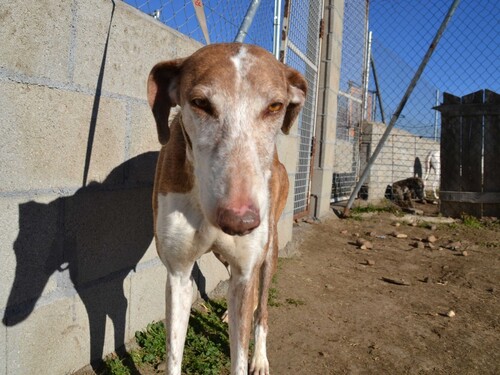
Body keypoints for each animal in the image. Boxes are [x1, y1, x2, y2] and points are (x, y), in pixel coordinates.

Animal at [146, 42, 306, 374]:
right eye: (200, 103)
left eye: (275, 106)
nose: (240, 220)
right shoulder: (178, 273)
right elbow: (173, 354)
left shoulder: (247, 268)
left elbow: (240, 357)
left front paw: (250, 357)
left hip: (269, 251)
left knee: (261, 309)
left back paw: (260, 357)